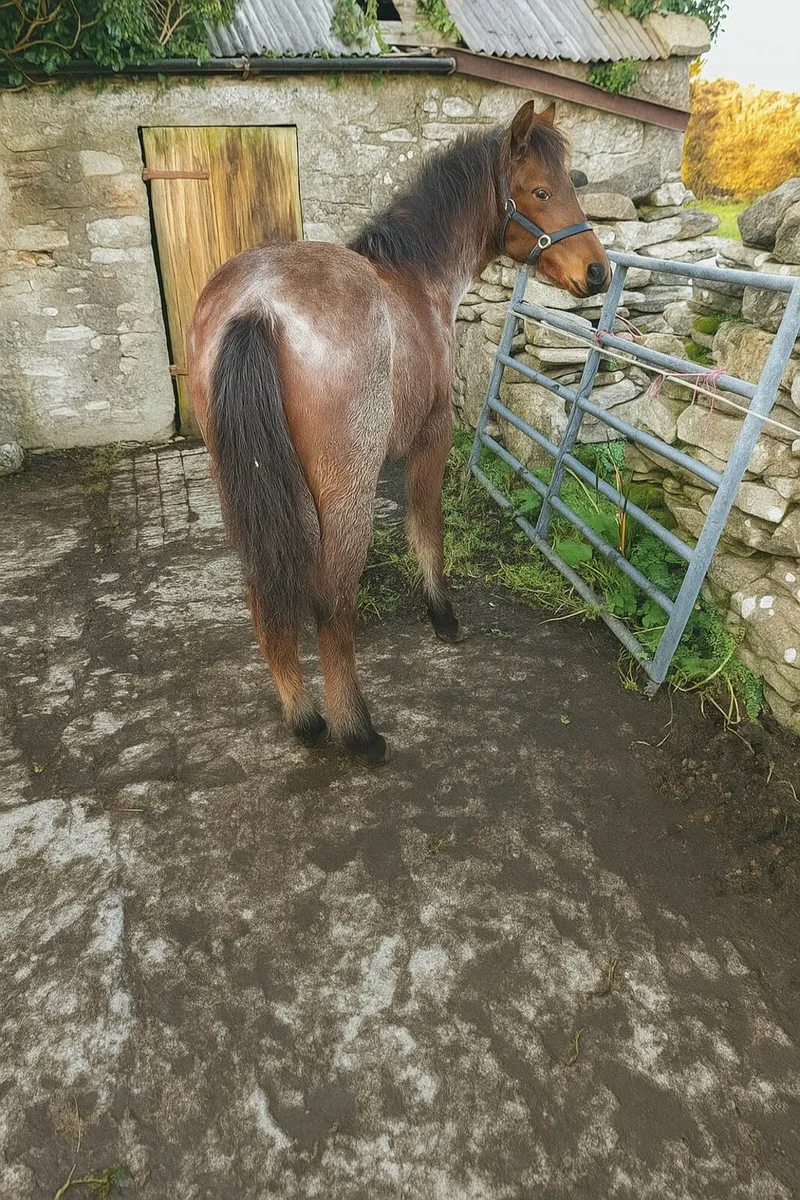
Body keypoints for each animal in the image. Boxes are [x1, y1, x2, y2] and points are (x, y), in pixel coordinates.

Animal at [187, 100, 610, 766]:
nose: (598, 271)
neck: (416, 279)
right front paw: (443, 617)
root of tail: (257, 306)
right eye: (541, 190)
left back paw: (304, 719)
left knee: (265, 595)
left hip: (248, 492)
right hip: (347, 493)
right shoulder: (431, 439)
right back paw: (358, 733)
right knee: (333, 606)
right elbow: (425, 529)